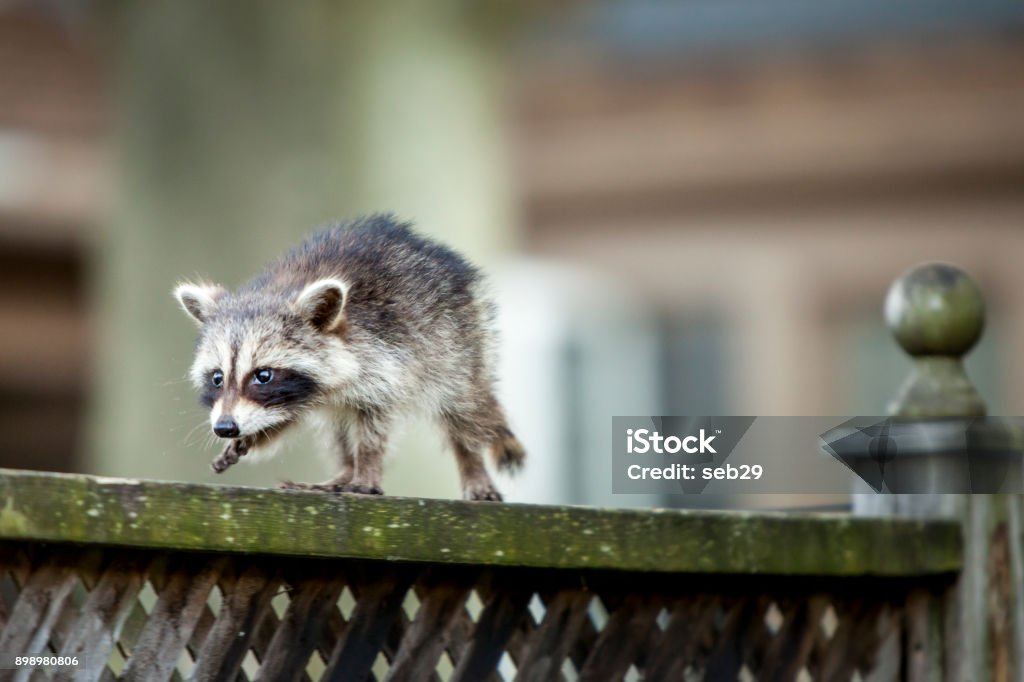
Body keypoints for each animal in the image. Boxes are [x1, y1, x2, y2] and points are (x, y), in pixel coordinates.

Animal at [173, 212, 524, 499]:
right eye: (218, 378)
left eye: (263, 375)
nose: (225, 427)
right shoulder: (296, 397)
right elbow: (285, 418)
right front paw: (254, 436)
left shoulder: (386, 358)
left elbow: (374, 423)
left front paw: (367, 469)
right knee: (338, 429)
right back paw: (343, 471)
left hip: (457, 342)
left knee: (464, 407)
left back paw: (471, 463)